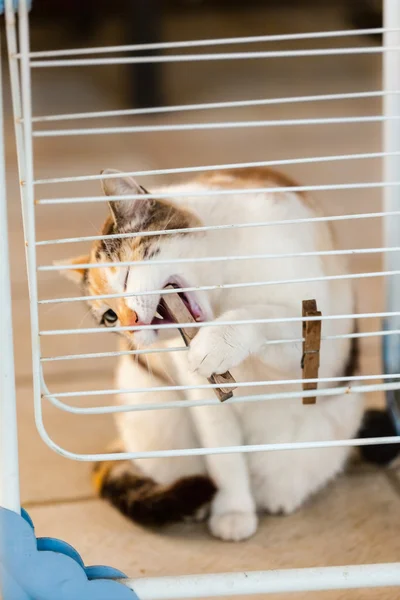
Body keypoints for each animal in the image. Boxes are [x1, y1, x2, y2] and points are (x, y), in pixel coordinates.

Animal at [60, 166, 366, 540]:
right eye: (109, 317)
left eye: (128, 276)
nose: (131, 326)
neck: (221, 286)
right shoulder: (202, 397)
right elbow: (224, 456)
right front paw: (233, 511)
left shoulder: (314, 328)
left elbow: (262, 316)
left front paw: (218, 342)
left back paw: (281, 492)